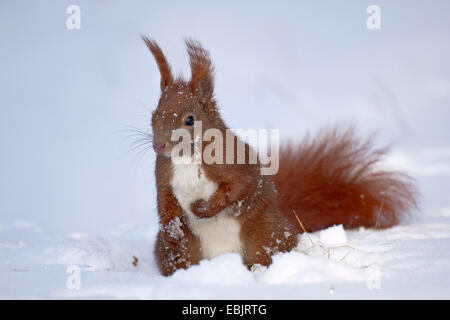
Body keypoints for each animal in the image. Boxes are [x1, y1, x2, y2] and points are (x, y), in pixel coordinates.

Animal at [142, 37, 418, 276]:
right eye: (153, 115)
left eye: (189, 120)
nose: (159, 146)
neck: (186, 157)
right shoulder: (163, 174)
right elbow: (165, 203)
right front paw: (171, 229)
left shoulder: (234, 162)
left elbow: (240, 187)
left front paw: (204, 208)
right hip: (184, 250)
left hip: (264, 234)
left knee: (264, 253)